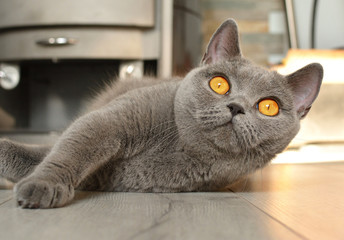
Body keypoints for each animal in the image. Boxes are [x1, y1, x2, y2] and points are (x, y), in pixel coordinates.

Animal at [0, 18, 322, 208]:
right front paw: (42, 183)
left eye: (268, 106)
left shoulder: (110, 177)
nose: (236, 107)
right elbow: (69, 150)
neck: (173, 145)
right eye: (219, 84)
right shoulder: (108, 121)